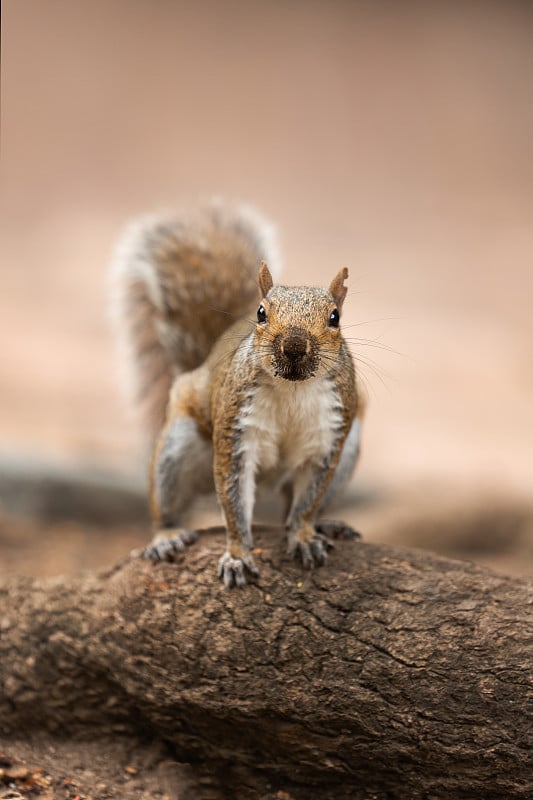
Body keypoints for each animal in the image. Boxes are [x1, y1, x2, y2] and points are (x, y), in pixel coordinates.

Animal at [110, 202, 364, 588]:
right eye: (261, 313)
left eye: (335, 317)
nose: (294, 346)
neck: (293, 387)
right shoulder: (236, 432)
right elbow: (234, 502)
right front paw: (238, 556)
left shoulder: (328, 438)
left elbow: (307, 502)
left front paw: (304, 537)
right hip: (178, 449)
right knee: (168, 505)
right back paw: (167, 536)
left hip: (348, 452)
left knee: (294, 505)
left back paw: (327, 524)